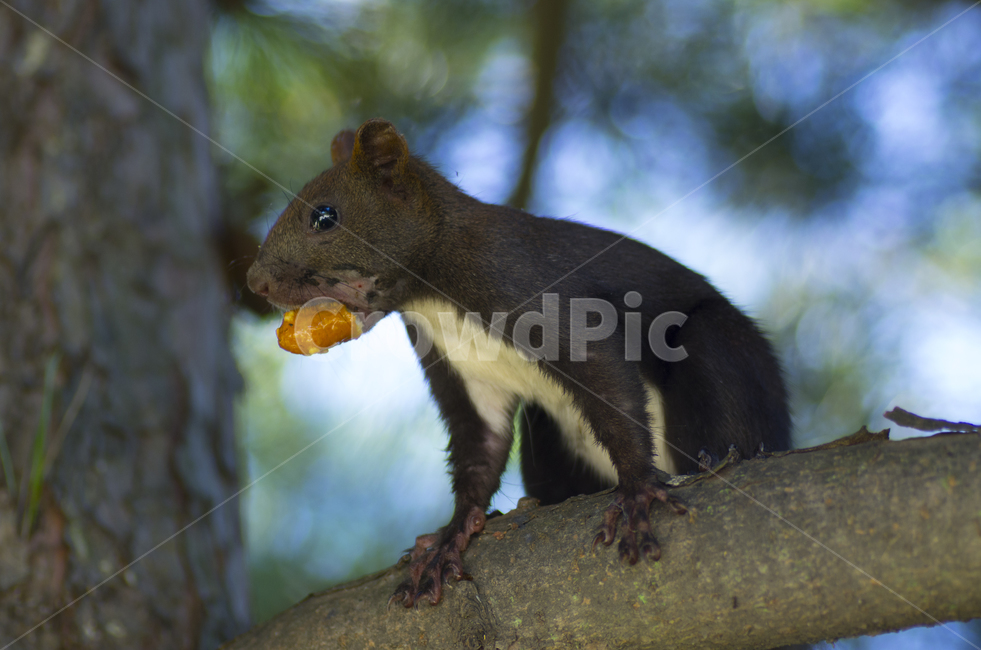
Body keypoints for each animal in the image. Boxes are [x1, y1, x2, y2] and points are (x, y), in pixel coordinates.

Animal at [246, 118, 791, 607]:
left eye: (325, 217)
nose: (255, 281)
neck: (429, 292)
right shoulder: (461, 371)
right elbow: (480, 448)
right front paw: (450, 536)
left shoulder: (532, 288)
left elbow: (608, 385)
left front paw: (638, 490)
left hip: (719, 352)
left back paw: (723, 459)